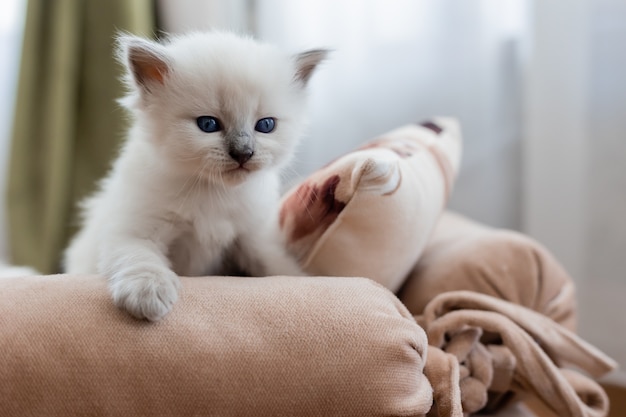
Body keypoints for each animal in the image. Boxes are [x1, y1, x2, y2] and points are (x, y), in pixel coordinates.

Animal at [63, 31, 326, 322]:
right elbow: (141, 260)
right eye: (208, 124)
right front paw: (149, 294)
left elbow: (278, 267)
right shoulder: (133, 231)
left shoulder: (252, 238)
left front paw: (306, 281)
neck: (214, 192)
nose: (244, 153)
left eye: (266, 125)